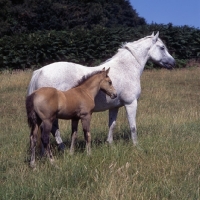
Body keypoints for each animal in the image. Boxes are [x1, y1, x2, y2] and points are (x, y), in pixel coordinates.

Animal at [27, 31, 175, 150]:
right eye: (162, 47)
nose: (173, 63)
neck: (126, 68)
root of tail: (40, 71)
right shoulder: (131, 103)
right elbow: (133, 126)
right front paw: (136, 146)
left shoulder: (115, 107)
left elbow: (112, 125)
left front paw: (111, 145)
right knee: (52, 130)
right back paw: (62, 149)